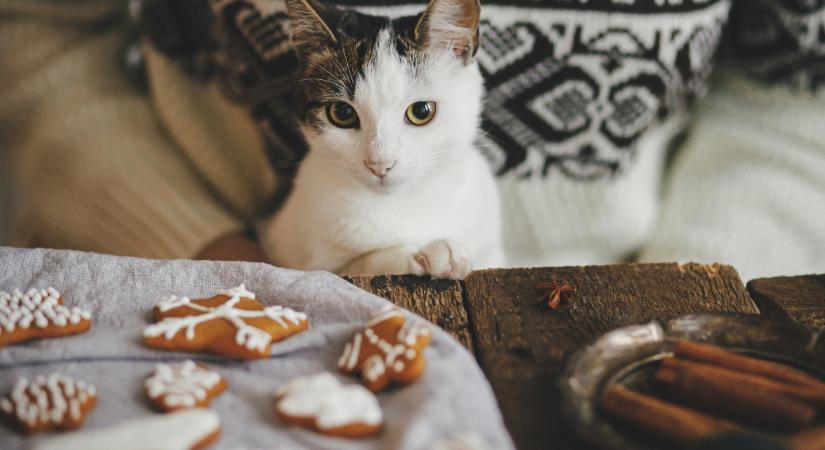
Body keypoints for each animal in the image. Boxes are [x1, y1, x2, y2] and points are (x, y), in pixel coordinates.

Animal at [260, 0, 502, 278]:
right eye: (342, 113)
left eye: (422, 111)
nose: (380, 164)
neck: (403, 202)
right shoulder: (289, 247)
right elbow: (355, 267)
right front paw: (431, 253)